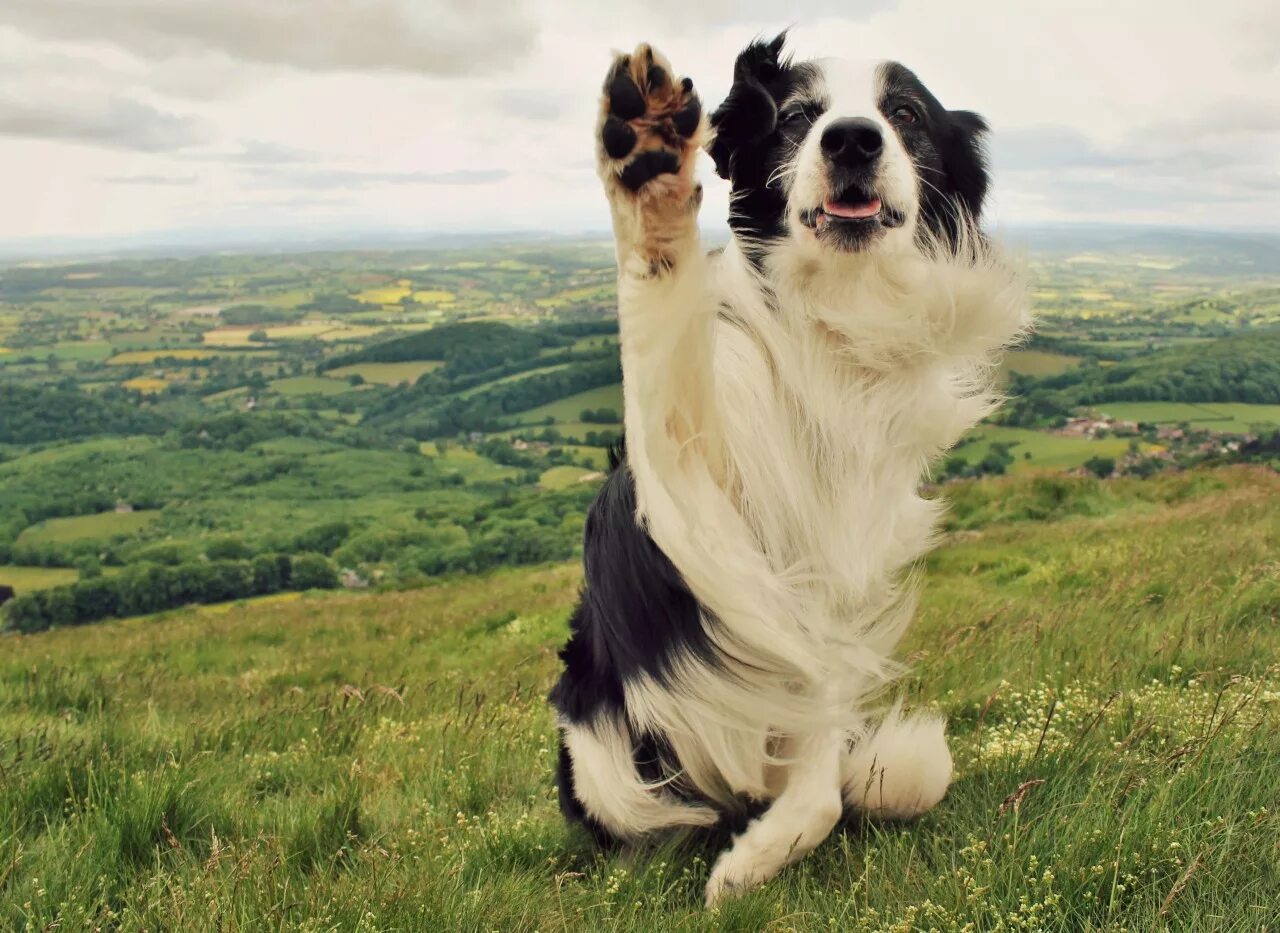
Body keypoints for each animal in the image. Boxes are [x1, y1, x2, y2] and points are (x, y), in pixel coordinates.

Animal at [547, 34, 1029, 901]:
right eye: (800, 115)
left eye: (905, 113)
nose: (852, 141)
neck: (831, 326)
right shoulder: (692, 499)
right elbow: (663, 360)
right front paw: (648, 169)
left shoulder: (838, 592)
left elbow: (825, 781)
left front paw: (757, 856)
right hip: (601, 749)